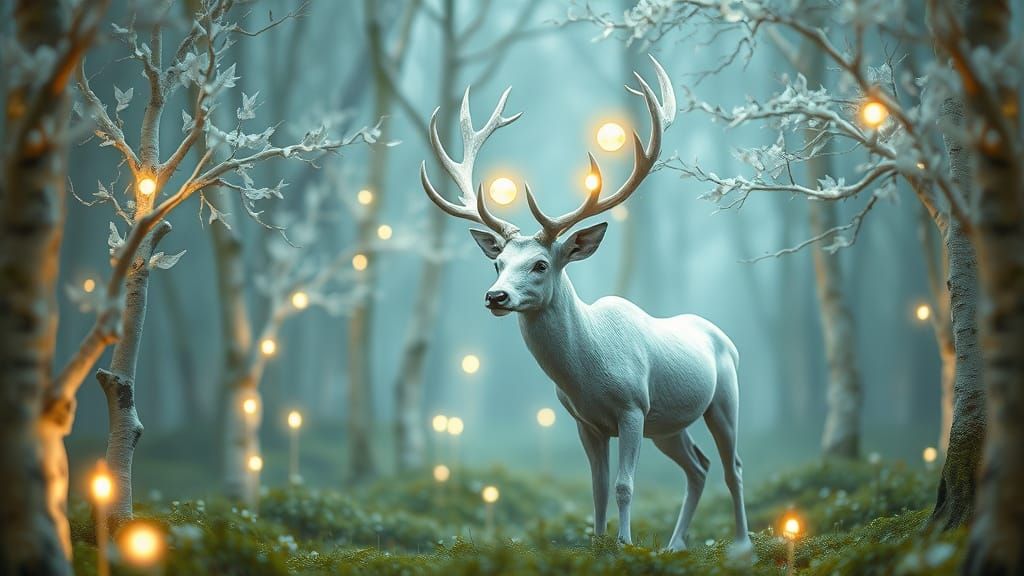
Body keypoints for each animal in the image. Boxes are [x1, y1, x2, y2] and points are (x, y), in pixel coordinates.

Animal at [419, 56, 751, 554]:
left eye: (540, 264)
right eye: (496, 263)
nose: (496, 296)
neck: (587, 374)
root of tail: (725, 338)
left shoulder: (633, 407)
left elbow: (624, 485)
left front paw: (625, 545)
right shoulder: (584, 421)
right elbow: (595, 487)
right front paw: (596, 544)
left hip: (723, 399)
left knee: (733, 467)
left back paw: (742, 544)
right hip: (669, 425)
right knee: (699, 467)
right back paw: (674, 544)